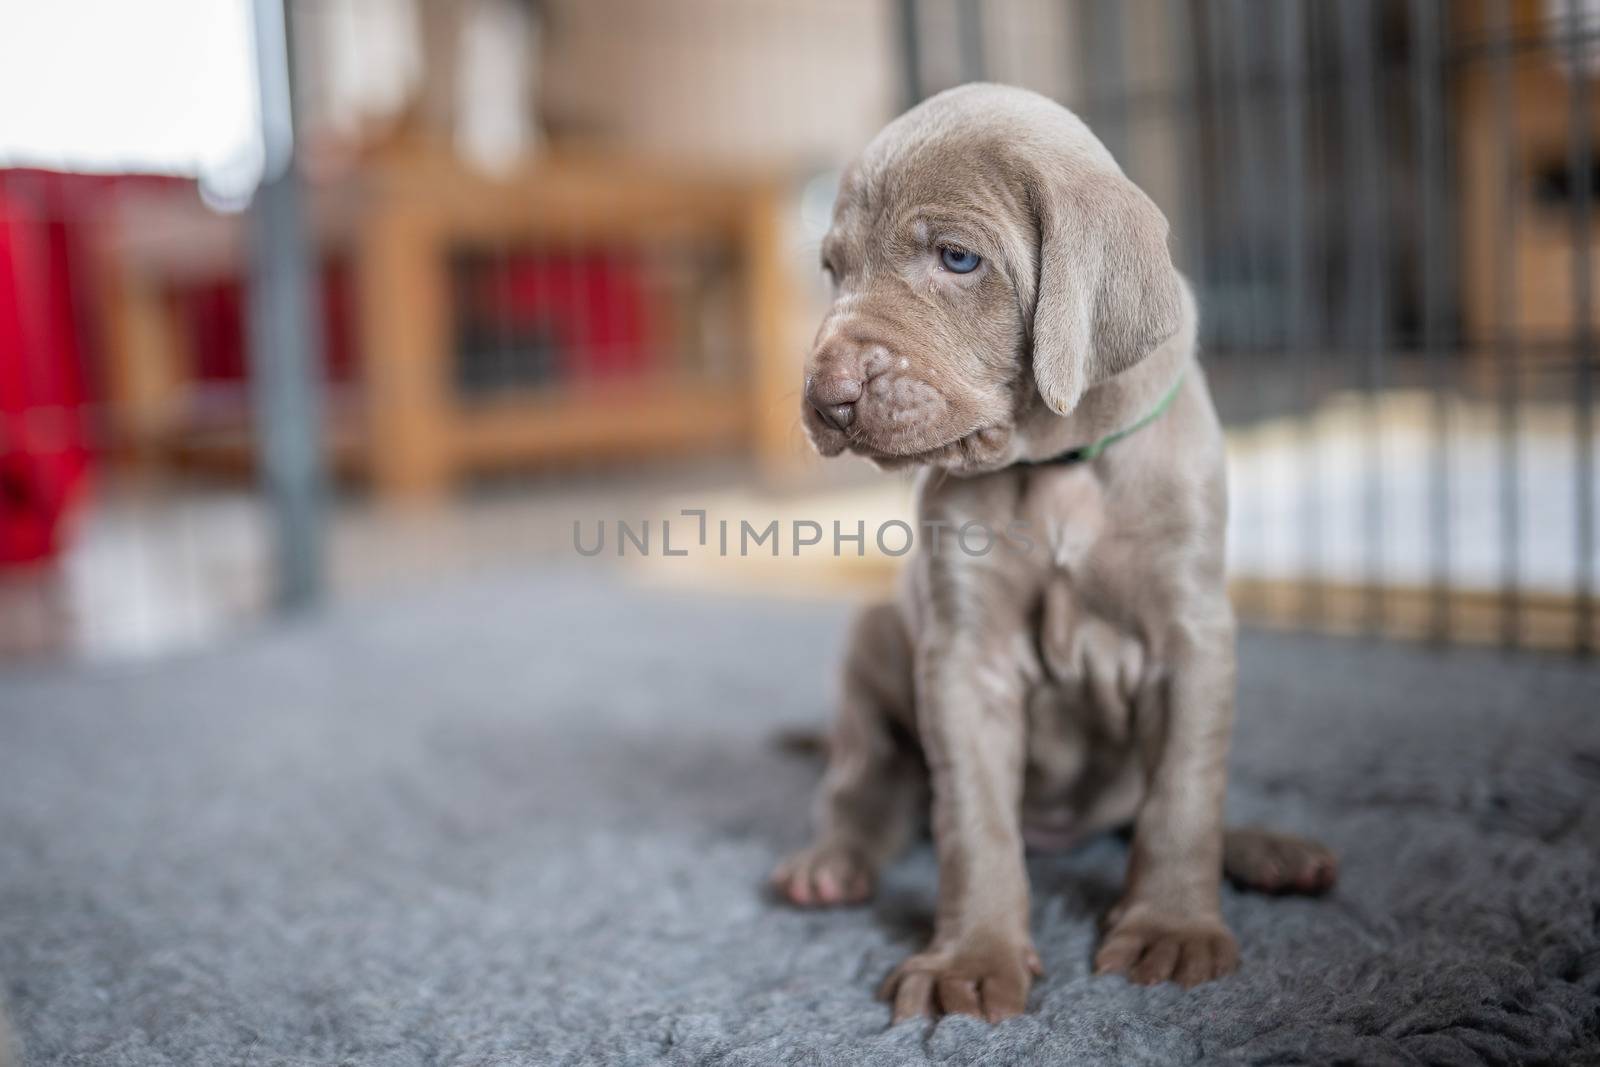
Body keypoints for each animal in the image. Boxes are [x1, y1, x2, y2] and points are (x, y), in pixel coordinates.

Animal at [774, 85, 1337, 1023]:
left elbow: (1184, 793)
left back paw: (1268, 850)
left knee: (1155, 805)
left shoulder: (1192, 639)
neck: (1057, 464)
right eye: (832, 269)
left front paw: (1171, 929)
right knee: (868, 783)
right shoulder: (965, 659)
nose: (828, 396)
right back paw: (829, 862)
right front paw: (969, 958)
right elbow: (973, 822)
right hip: (872, 640)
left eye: (957, 258)